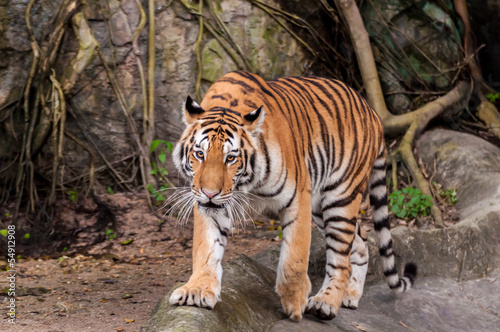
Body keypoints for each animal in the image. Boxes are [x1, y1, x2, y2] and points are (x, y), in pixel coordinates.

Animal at [170, 70, 416, 322]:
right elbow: (206, 249)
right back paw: (350, 296)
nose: (210, 193)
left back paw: (326, 303)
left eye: (230, 158)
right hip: (322, 209)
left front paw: (295, 305)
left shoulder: (298, 197)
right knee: (360, 242)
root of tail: (373, 112)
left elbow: (294, 258)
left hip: (341, 199)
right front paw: (197, 291)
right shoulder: (211, 206)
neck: (247, 185)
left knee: (340, 259)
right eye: (200, 154)